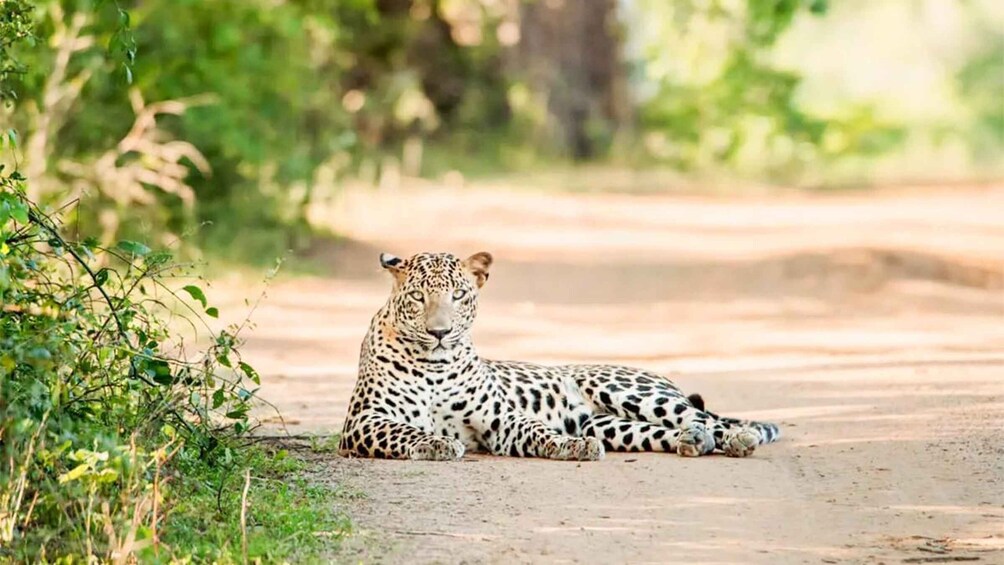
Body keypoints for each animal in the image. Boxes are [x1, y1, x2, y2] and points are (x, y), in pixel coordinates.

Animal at [338, 251, 780, 461]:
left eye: (459, 295)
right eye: (417, 297)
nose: (440, 332)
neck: (435, 365)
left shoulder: (500, 420)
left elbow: (538, 430)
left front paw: (571, 447)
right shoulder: (363, 420)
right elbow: (406, 430)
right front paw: (436, 443)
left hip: (630, 391)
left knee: (706, 418)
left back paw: (737, 437)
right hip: (609, 424)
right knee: (671, 430)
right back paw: (692, 442)